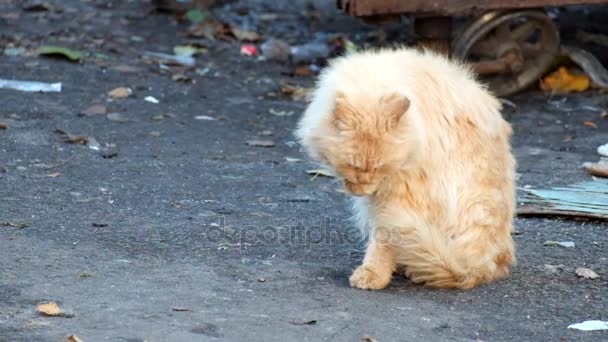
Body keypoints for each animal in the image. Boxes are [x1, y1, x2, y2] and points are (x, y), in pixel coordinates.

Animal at [296, 47, 516, 288]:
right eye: (352, 165)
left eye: (380, 167)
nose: (362, 191)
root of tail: (476, 270)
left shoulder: (399, 194)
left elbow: (383, 241)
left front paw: (372, 274)